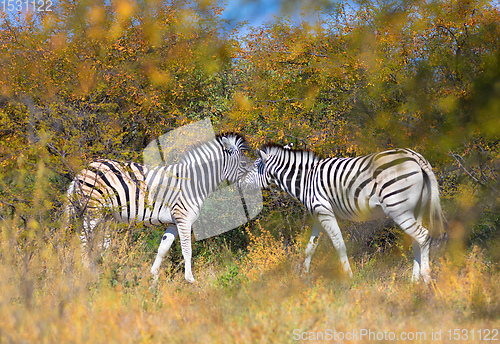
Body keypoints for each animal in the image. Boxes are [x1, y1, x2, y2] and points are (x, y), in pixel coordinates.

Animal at [66, 132, 250, 282]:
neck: (194, 182)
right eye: (244, 165)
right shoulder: (183, 219)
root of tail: (82, 170)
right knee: (83, 240)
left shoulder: (173, 222)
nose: (253, 186)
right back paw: (86, 273)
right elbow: (187, 249)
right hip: (93, 211)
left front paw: (153, 278)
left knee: (99, 244)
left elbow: (163, 248)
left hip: (105, 215)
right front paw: (190, 280)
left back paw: (103, 270)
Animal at [239, 144, 446, 284]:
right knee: (417, 240)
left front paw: (349, 277)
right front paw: (303, 276)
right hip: (414, 208)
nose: (239, 185)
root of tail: (415, 156)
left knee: (423, 236)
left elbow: (339, 244)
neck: (306, 180)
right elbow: (310, 247)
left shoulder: (324, 211)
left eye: (253, 168)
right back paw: (414, 281)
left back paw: (426, 279)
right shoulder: (318, 215)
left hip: (398, 207)